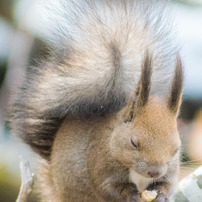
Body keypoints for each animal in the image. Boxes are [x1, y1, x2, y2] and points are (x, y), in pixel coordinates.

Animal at [9, 0, 183, 202]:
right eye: (133, 142)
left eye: (176, 149)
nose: (154, 172)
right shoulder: (100, 164)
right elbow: (110, 189)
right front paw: (133, 196)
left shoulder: (170, 172)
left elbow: (168, 184)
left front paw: (162, 194)